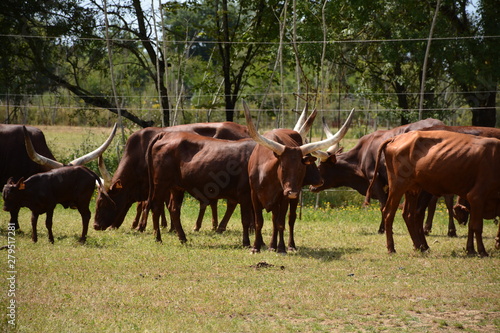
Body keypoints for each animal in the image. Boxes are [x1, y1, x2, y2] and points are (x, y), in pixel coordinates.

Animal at [243, 100, 356, 252]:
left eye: (301, 168)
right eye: (283, 167)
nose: (292, 192)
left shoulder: (283, 196)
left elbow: (280, 222)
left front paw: (282, 248)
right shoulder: (254, 194)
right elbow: (259, 222)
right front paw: (255, 247)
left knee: (290, 219)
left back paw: (288, 245)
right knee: (274, 219)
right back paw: (272, 246)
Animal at [310, 117, 452, 233]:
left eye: (320, 166)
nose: (311, 186)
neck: (361, 155)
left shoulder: (375, 179)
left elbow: (383, 205)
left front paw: (383, 229)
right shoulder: (388, 183)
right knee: (439, 200)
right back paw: (434, 229)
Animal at [368, 129, 500, 254]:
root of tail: (395, 138)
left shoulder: (474, 203)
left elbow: (471, 226)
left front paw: (471, 249)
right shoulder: (477, 197)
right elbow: (477, 226)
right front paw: (482, 251)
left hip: (413, 189)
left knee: (409, 214)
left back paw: (420, 246)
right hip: (398, 187)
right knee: (389, 213)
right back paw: (392, 248)